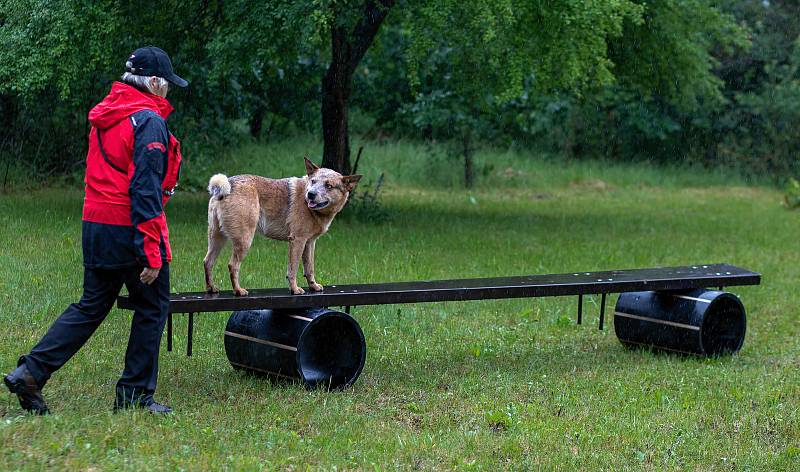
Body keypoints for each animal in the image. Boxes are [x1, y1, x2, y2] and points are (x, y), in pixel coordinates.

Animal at [203, 160, 362, 296]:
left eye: (329, 185)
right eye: (313, 181)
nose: (311, 194)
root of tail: (225, 186)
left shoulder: (309, 243)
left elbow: (309, 268)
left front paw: (313, 286)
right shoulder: (297, 241)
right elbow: (293, 269)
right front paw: (295, 289)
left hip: (217, 239)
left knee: (207, 261)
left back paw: (212, 288)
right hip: (244, 241)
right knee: (232, 265)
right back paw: (238, 290)